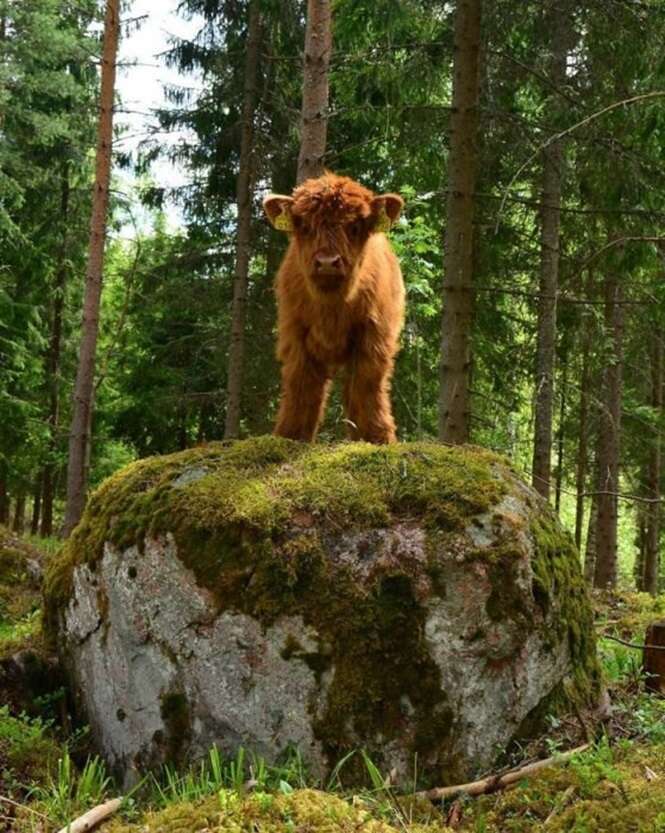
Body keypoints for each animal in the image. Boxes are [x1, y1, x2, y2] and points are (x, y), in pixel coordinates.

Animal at [262, 169, 402, 442]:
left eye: (355, 226)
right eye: (305, 226)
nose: (327, 262)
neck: (332, 306)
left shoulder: (374, 337)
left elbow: (368, 385)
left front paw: (377, 437)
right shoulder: (294, 333)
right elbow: (301, 384)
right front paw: (291, 435)